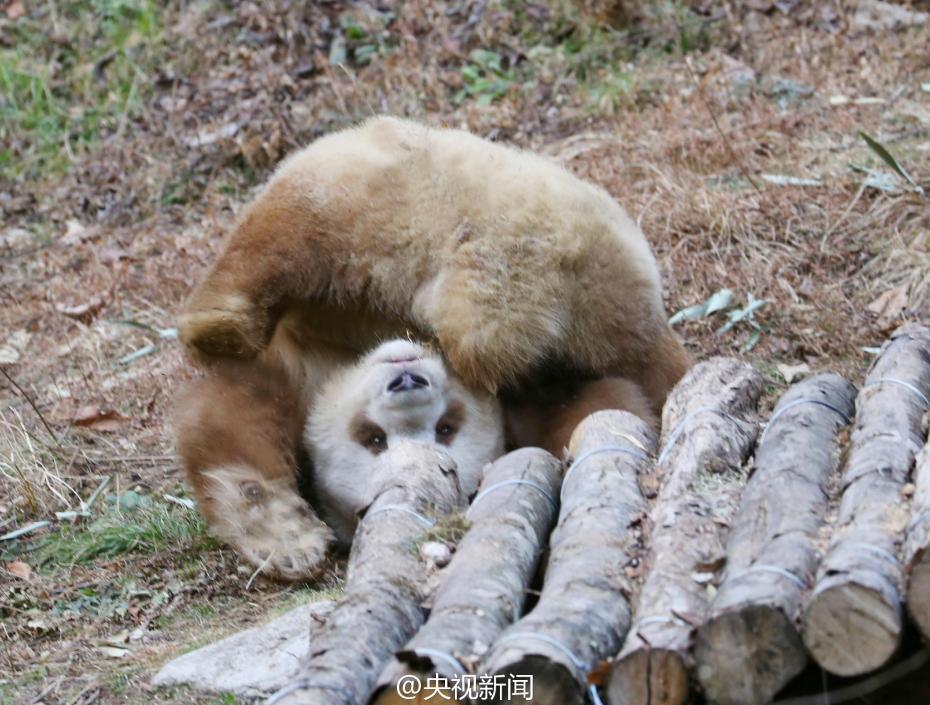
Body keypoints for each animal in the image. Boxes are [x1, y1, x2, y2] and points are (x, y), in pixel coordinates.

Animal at [174, 114, 684, 576]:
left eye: (445, 428)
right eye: (372, 437)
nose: (406, 379)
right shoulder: (307, 373)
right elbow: (231, 423)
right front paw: (290, 542)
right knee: (292, 235)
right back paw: (218, 327)